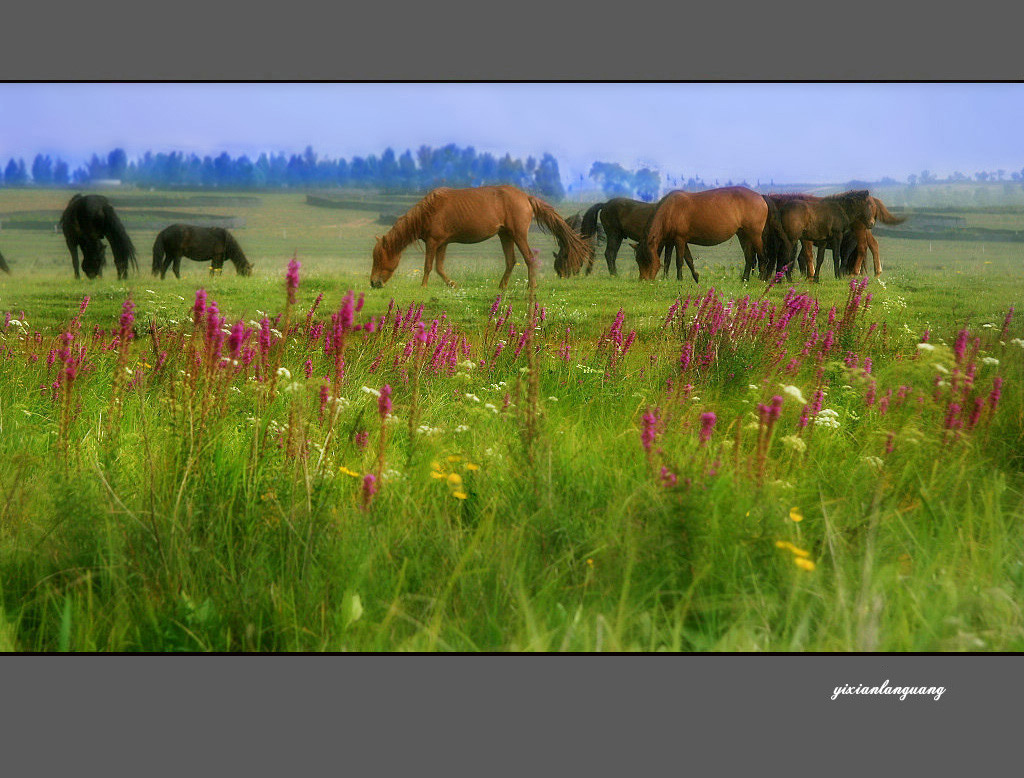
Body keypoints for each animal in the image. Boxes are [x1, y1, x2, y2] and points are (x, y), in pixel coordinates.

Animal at [368, 184, 593, 288]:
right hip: (505, 235)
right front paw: (452, 285)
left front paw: (423, 287)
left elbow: (428, 267)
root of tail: (526, 198)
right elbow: (439, 267)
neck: (429, 210)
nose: (373, 283)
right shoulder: (442, 243)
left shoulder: (433, 242)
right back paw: (501, 287)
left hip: (518, 235)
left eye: (378, 258)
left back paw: (531, 285)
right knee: (511, 261)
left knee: (529, 258)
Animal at [634, 185, 770, 282]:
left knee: (762, 256)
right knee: (749, 257)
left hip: (755, 235)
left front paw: (679, 279)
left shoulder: (679, 240)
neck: (670, 210)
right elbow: (683, 260)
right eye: (638, 260)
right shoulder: (674, 241)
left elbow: (679, 261)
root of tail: (760, 197)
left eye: (648, 260)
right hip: (743, 236)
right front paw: (695, 277)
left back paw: (761, 279)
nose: (643, 280)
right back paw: (745, 279)